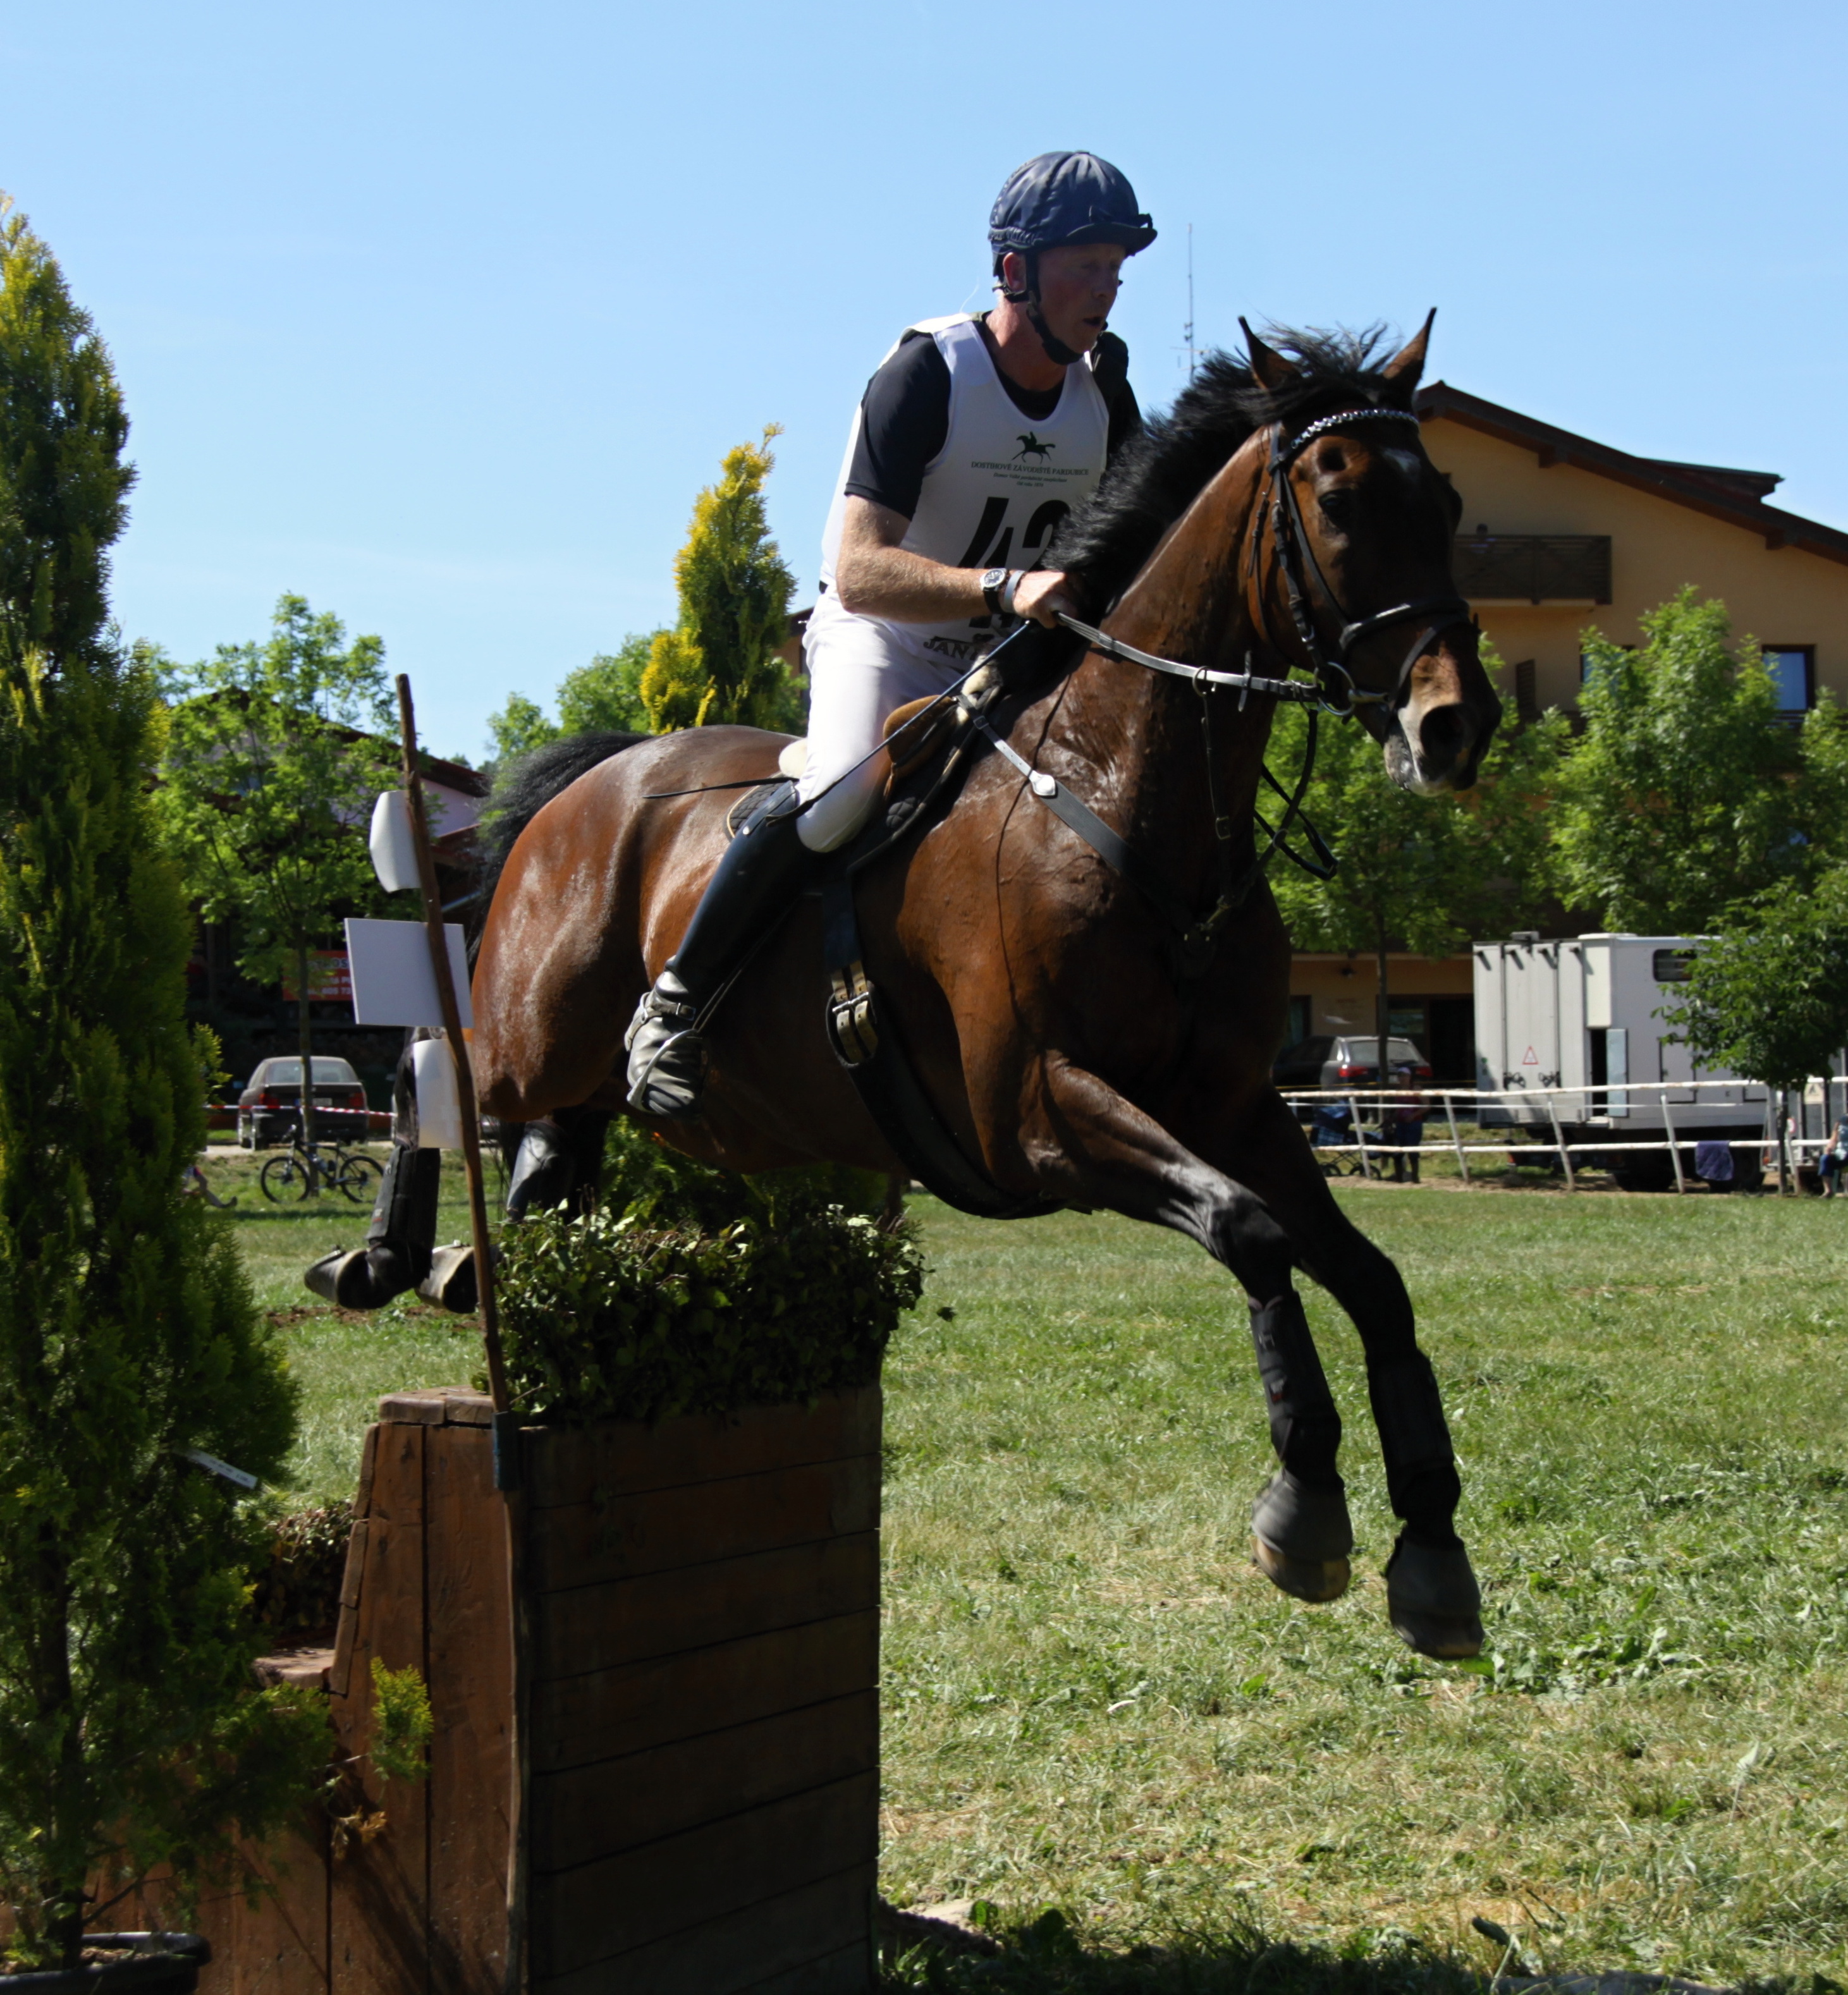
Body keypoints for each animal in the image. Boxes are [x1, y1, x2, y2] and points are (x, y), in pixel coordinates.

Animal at [463, 315, 1500, 1652]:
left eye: (1448, 500)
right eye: (1336, 503)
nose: (1453, 724)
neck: (1124, 797)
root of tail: (592, 782)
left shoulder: (1230, 1107)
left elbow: (1367, 1277)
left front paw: (1429, 1543)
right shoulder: (1038, 1115)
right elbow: (1251, 1232)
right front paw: (1305, 1503)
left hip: (612, 1106)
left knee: (555, 1168)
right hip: (525, 1044)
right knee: (455, 1110)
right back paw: (405, 1252)